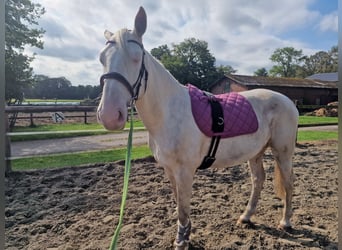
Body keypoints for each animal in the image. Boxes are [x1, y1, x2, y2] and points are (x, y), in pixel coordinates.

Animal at [95, 6, 296, 249]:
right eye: (102, 58)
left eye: (136, 58)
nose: (109, 115)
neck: (169, 113)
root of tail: (287, 100)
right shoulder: (170, 170)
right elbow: (179, 204)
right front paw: (185, 233)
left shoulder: (185, 172)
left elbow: (183, 209)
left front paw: (181, 240)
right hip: (256, 152)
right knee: (258, 181)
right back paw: (246, 217)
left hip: (282, 152)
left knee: (288, 183)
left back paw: (285, 222)